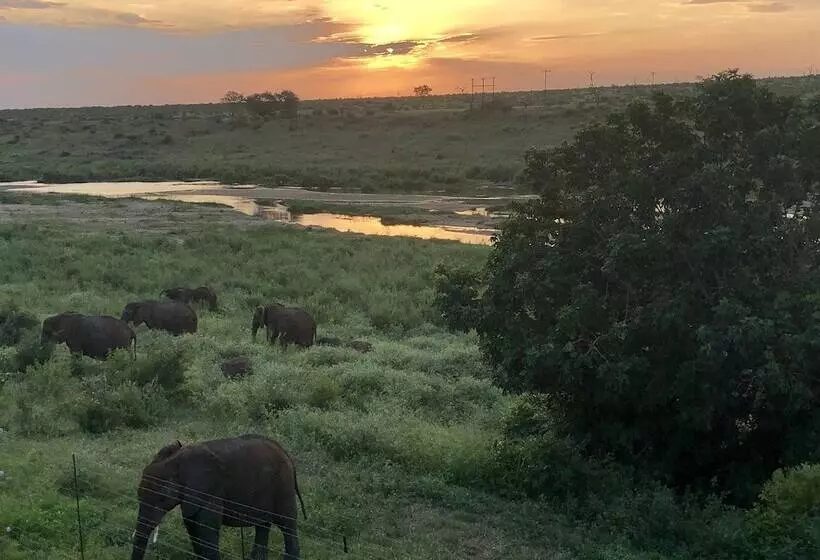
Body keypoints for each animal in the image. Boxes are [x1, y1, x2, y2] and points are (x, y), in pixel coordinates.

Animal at [130, 434, 306, 560]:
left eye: (161, 498)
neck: (177, 461)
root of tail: (286, 453)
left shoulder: (210, 491)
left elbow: (207, 529)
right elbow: (192, 526)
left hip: (283, 486)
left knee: (287, 525)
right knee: (263, 524)